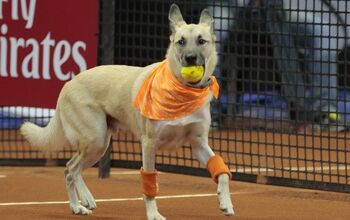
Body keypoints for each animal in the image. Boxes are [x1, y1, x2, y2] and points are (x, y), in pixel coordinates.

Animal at [21, 4, 235, 219]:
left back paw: (78, 204)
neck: (184, 92)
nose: (190, 59)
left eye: (201, 41)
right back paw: (83, 201)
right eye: (181, 42)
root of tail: (67, 84)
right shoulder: (149, 143)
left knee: (70, 169)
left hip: (99, 145)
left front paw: (225, 202)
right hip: (95, 140)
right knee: (71, 169)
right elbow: (149, 184)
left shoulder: (199, 144)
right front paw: (153, 214)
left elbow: (222, 172)